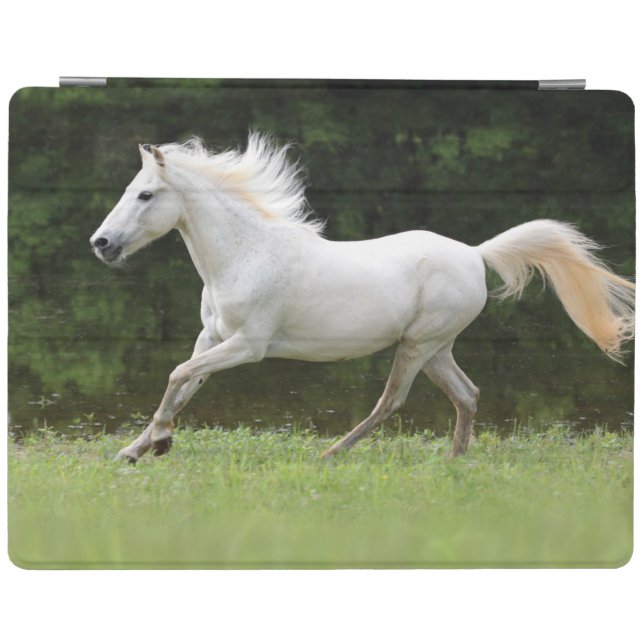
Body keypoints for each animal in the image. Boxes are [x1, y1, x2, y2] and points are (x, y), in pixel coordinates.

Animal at [90, 134, 635, 463]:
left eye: (145, 195)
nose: (101, 244)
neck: (245, 255)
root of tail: (475, 253)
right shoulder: (212, 338)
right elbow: (184, 384)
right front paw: (134, 451)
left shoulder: (248, 345)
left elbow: (176, 375)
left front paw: (159, 443)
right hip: (437, 348)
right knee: (467, 394)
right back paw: (454, 461)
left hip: (417, 345)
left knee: (391, 401)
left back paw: (331, 454)